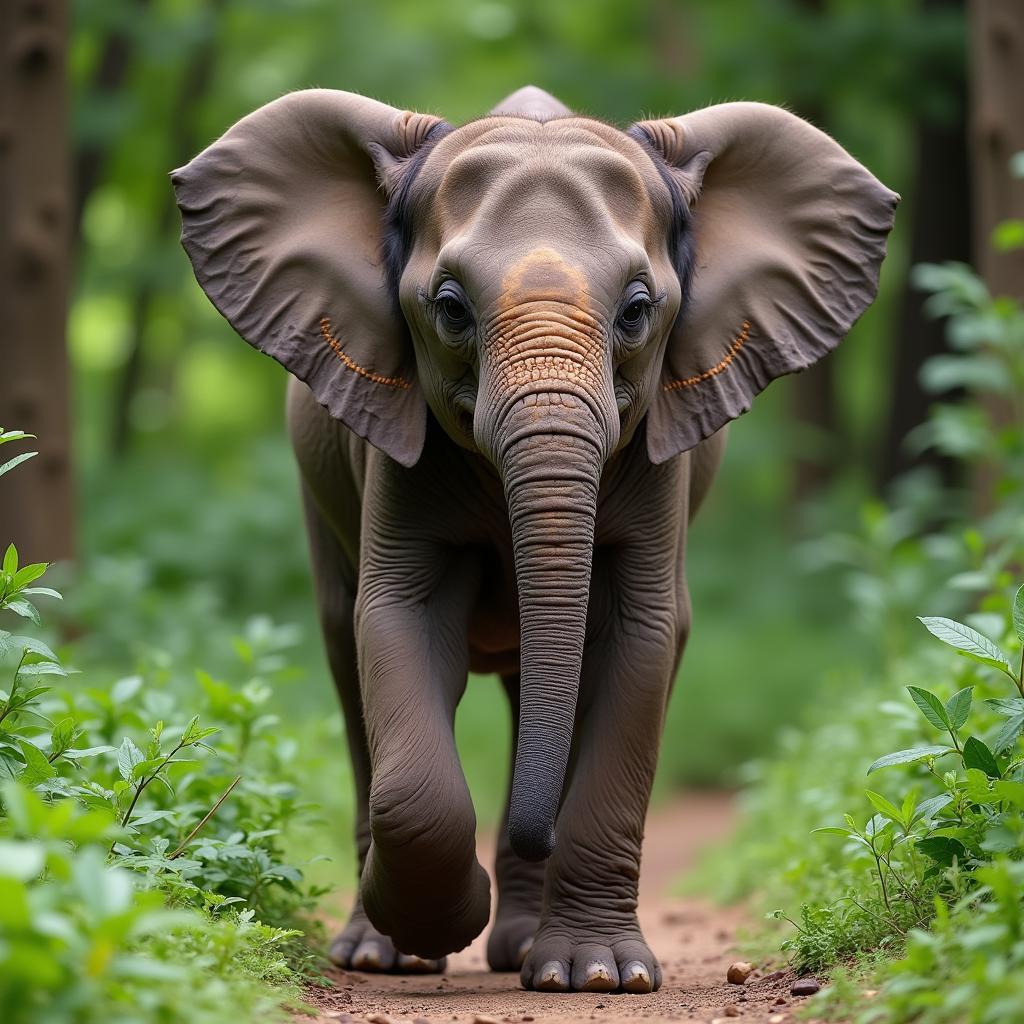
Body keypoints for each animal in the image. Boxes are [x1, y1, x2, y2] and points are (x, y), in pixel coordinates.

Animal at [169, 83, 897, 995]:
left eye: (637, 311)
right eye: (450, 309)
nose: (525, 834)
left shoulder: (659, 463)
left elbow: (640, 636)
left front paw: (598, 976)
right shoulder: (398, 452)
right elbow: (396, 622)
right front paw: (436, 926)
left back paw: (522, 953)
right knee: (346, 651)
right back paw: (387, 953)